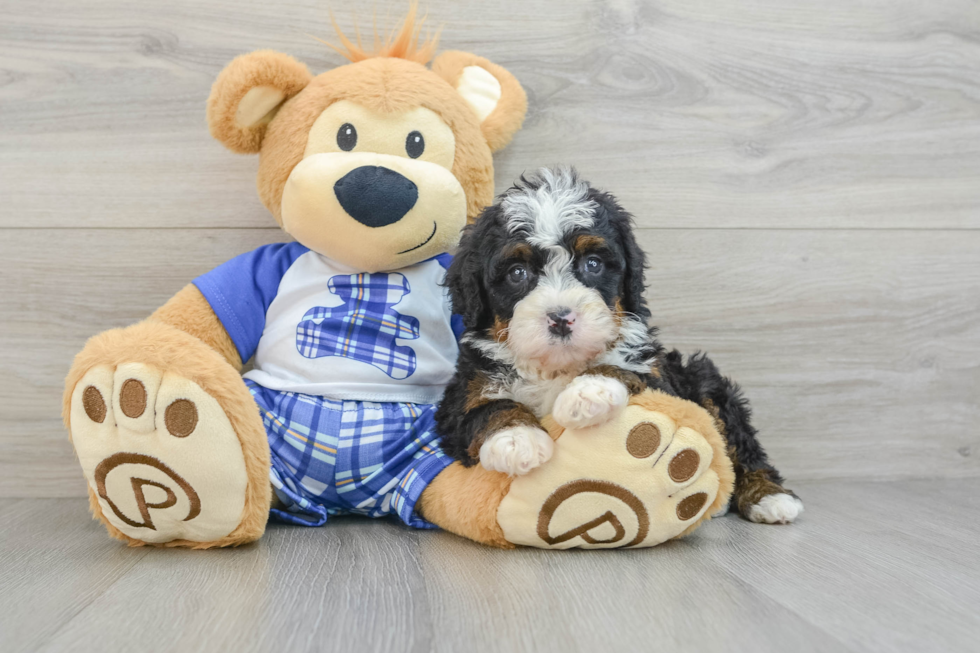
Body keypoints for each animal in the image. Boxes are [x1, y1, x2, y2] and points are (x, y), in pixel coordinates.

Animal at [436, 166, 804, 524]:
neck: (556, 367)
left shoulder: (661, 378)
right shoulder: (461, 394)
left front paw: (588, 392)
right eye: (517, 272)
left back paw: (770, 497)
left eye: (593, 264)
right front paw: (517, 439)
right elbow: (485, 407)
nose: (561, 318)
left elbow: (625, 368)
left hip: (704, 380)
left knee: (742, 442)